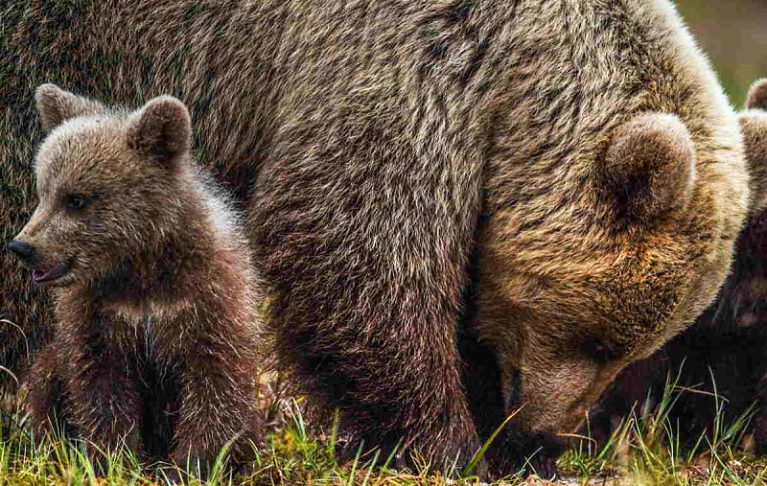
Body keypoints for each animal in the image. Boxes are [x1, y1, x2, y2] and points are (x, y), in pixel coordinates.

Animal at [0, 0, 756, 476]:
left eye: (633, 349)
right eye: (596, 339)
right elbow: (355, 243)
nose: (544, 435)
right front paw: (446, 445)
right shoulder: (408, 61)